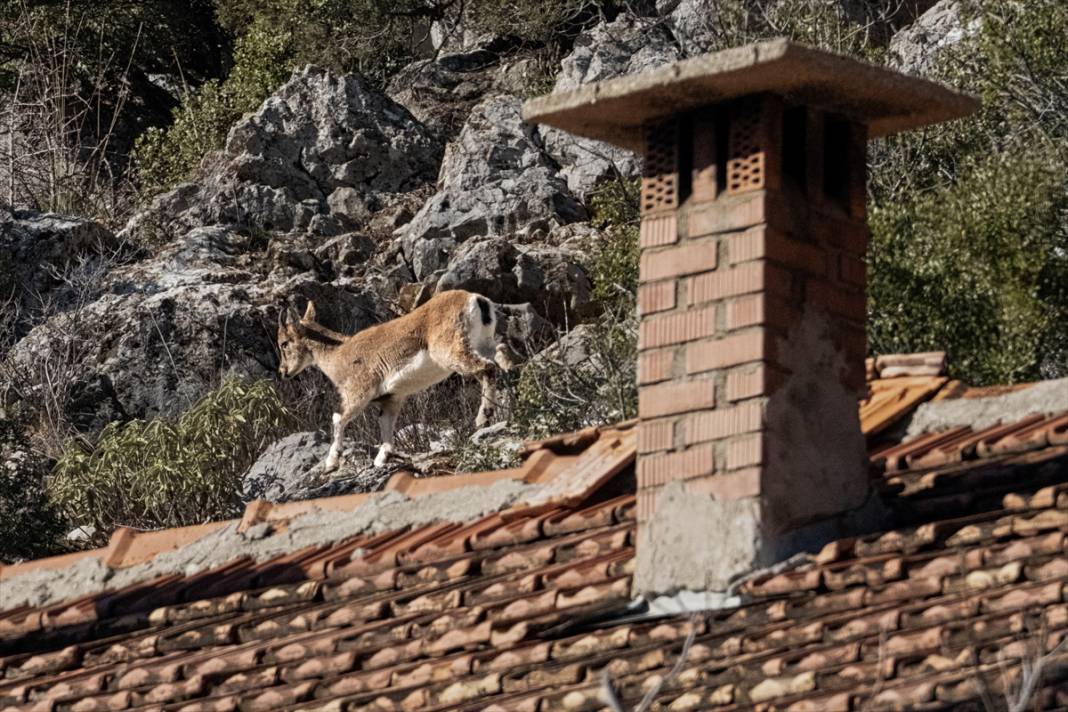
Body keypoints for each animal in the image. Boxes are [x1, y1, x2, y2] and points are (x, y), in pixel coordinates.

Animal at [273, 286, 510, 469]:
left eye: (284, 343)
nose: (284, 372)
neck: (339, 355)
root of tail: (475, 300)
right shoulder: (392, 399)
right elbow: (385, 427)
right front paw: (381, 460)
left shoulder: (358, 392)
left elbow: (338, 418)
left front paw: (331, 462)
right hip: (483, 343)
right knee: (501, 355)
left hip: (451, 351)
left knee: (487, 368)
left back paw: (483, 417)